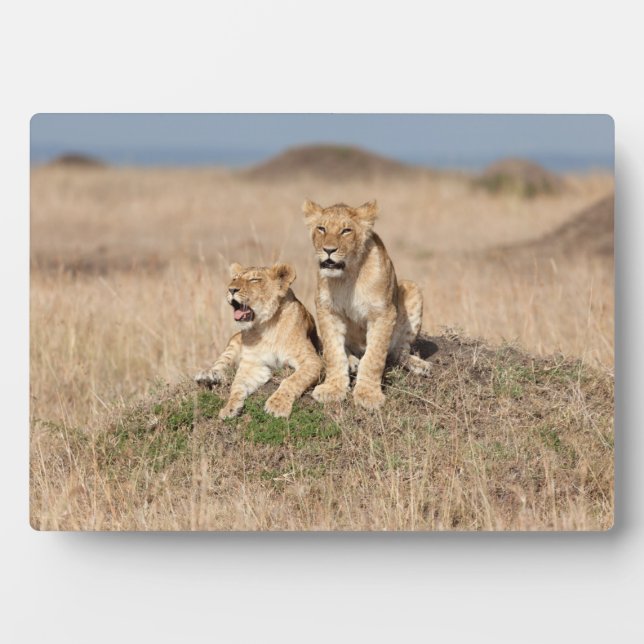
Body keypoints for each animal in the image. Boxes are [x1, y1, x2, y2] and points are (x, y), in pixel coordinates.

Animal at [195, 262, 322, 419]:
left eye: (254, 280)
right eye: (234, 279)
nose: (231, 289)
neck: (266, 326)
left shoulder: (312, 361)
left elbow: (292, 380)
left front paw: (277, 406)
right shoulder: (253, 365)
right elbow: (237, 386)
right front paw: (229, 408)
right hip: (233, 342)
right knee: (221, 364)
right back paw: (206, 376)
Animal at [302, 199, 431, 410]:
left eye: (346, 230)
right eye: (321, 228)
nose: (328, 250)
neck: (347, 275)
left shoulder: (383, 313)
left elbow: (374, 357)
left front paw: (368, 394)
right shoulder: (327, 310)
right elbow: (333, 352)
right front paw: (333, 389)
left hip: (412, 288)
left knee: (398, 352)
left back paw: (420, 365)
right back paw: (352, 360)